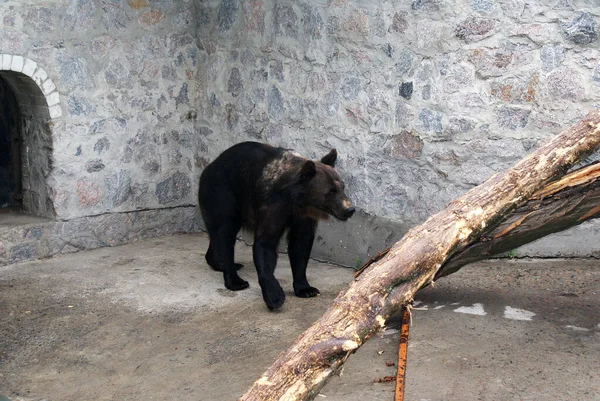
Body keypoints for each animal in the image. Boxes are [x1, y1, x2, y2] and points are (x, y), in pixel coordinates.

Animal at [199, 141, 354, 310]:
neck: (296, 199)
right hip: (223, 194)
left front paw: (306, 289)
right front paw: (275, 296)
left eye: (343, 186)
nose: (349, 209)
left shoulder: (303, 216)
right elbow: (266, 243)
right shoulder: (273, 206)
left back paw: (218, 262)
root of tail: (209, 166)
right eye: (330, 191)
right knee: (225, 232)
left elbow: (301, 244)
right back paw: (235, 280)